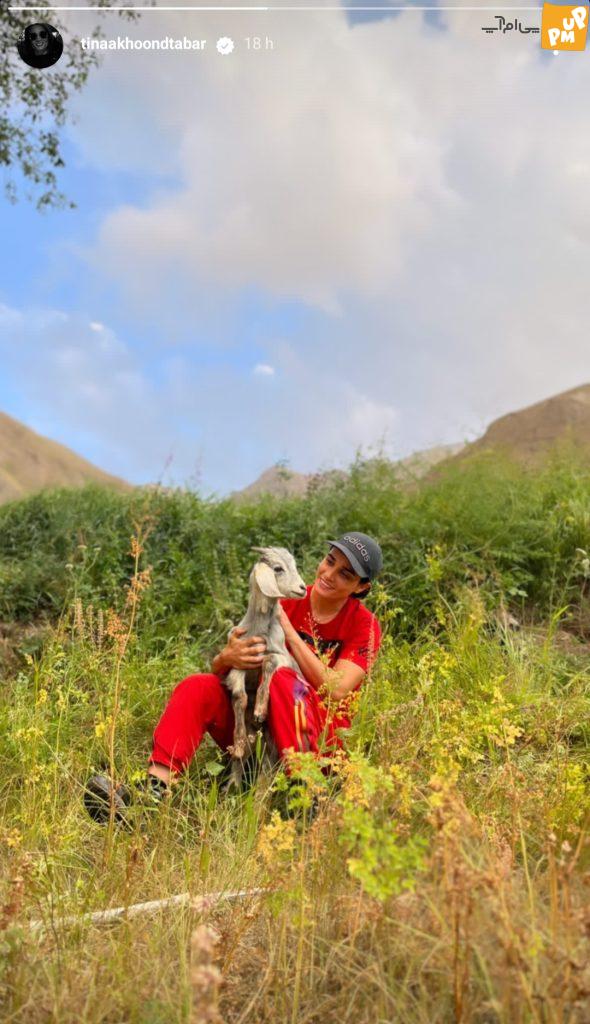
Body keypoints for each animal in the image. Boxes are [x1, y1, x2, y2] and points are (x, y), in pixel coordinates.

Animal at [223, 548, 307, 770]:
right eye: (278, 568)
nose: (303, 588)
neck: (259, 630)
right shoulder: (238, 662)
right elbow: (240, 697)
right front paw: (238, 742)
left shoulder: (283, 657)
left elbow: (269, 661)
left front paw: (260, 710)